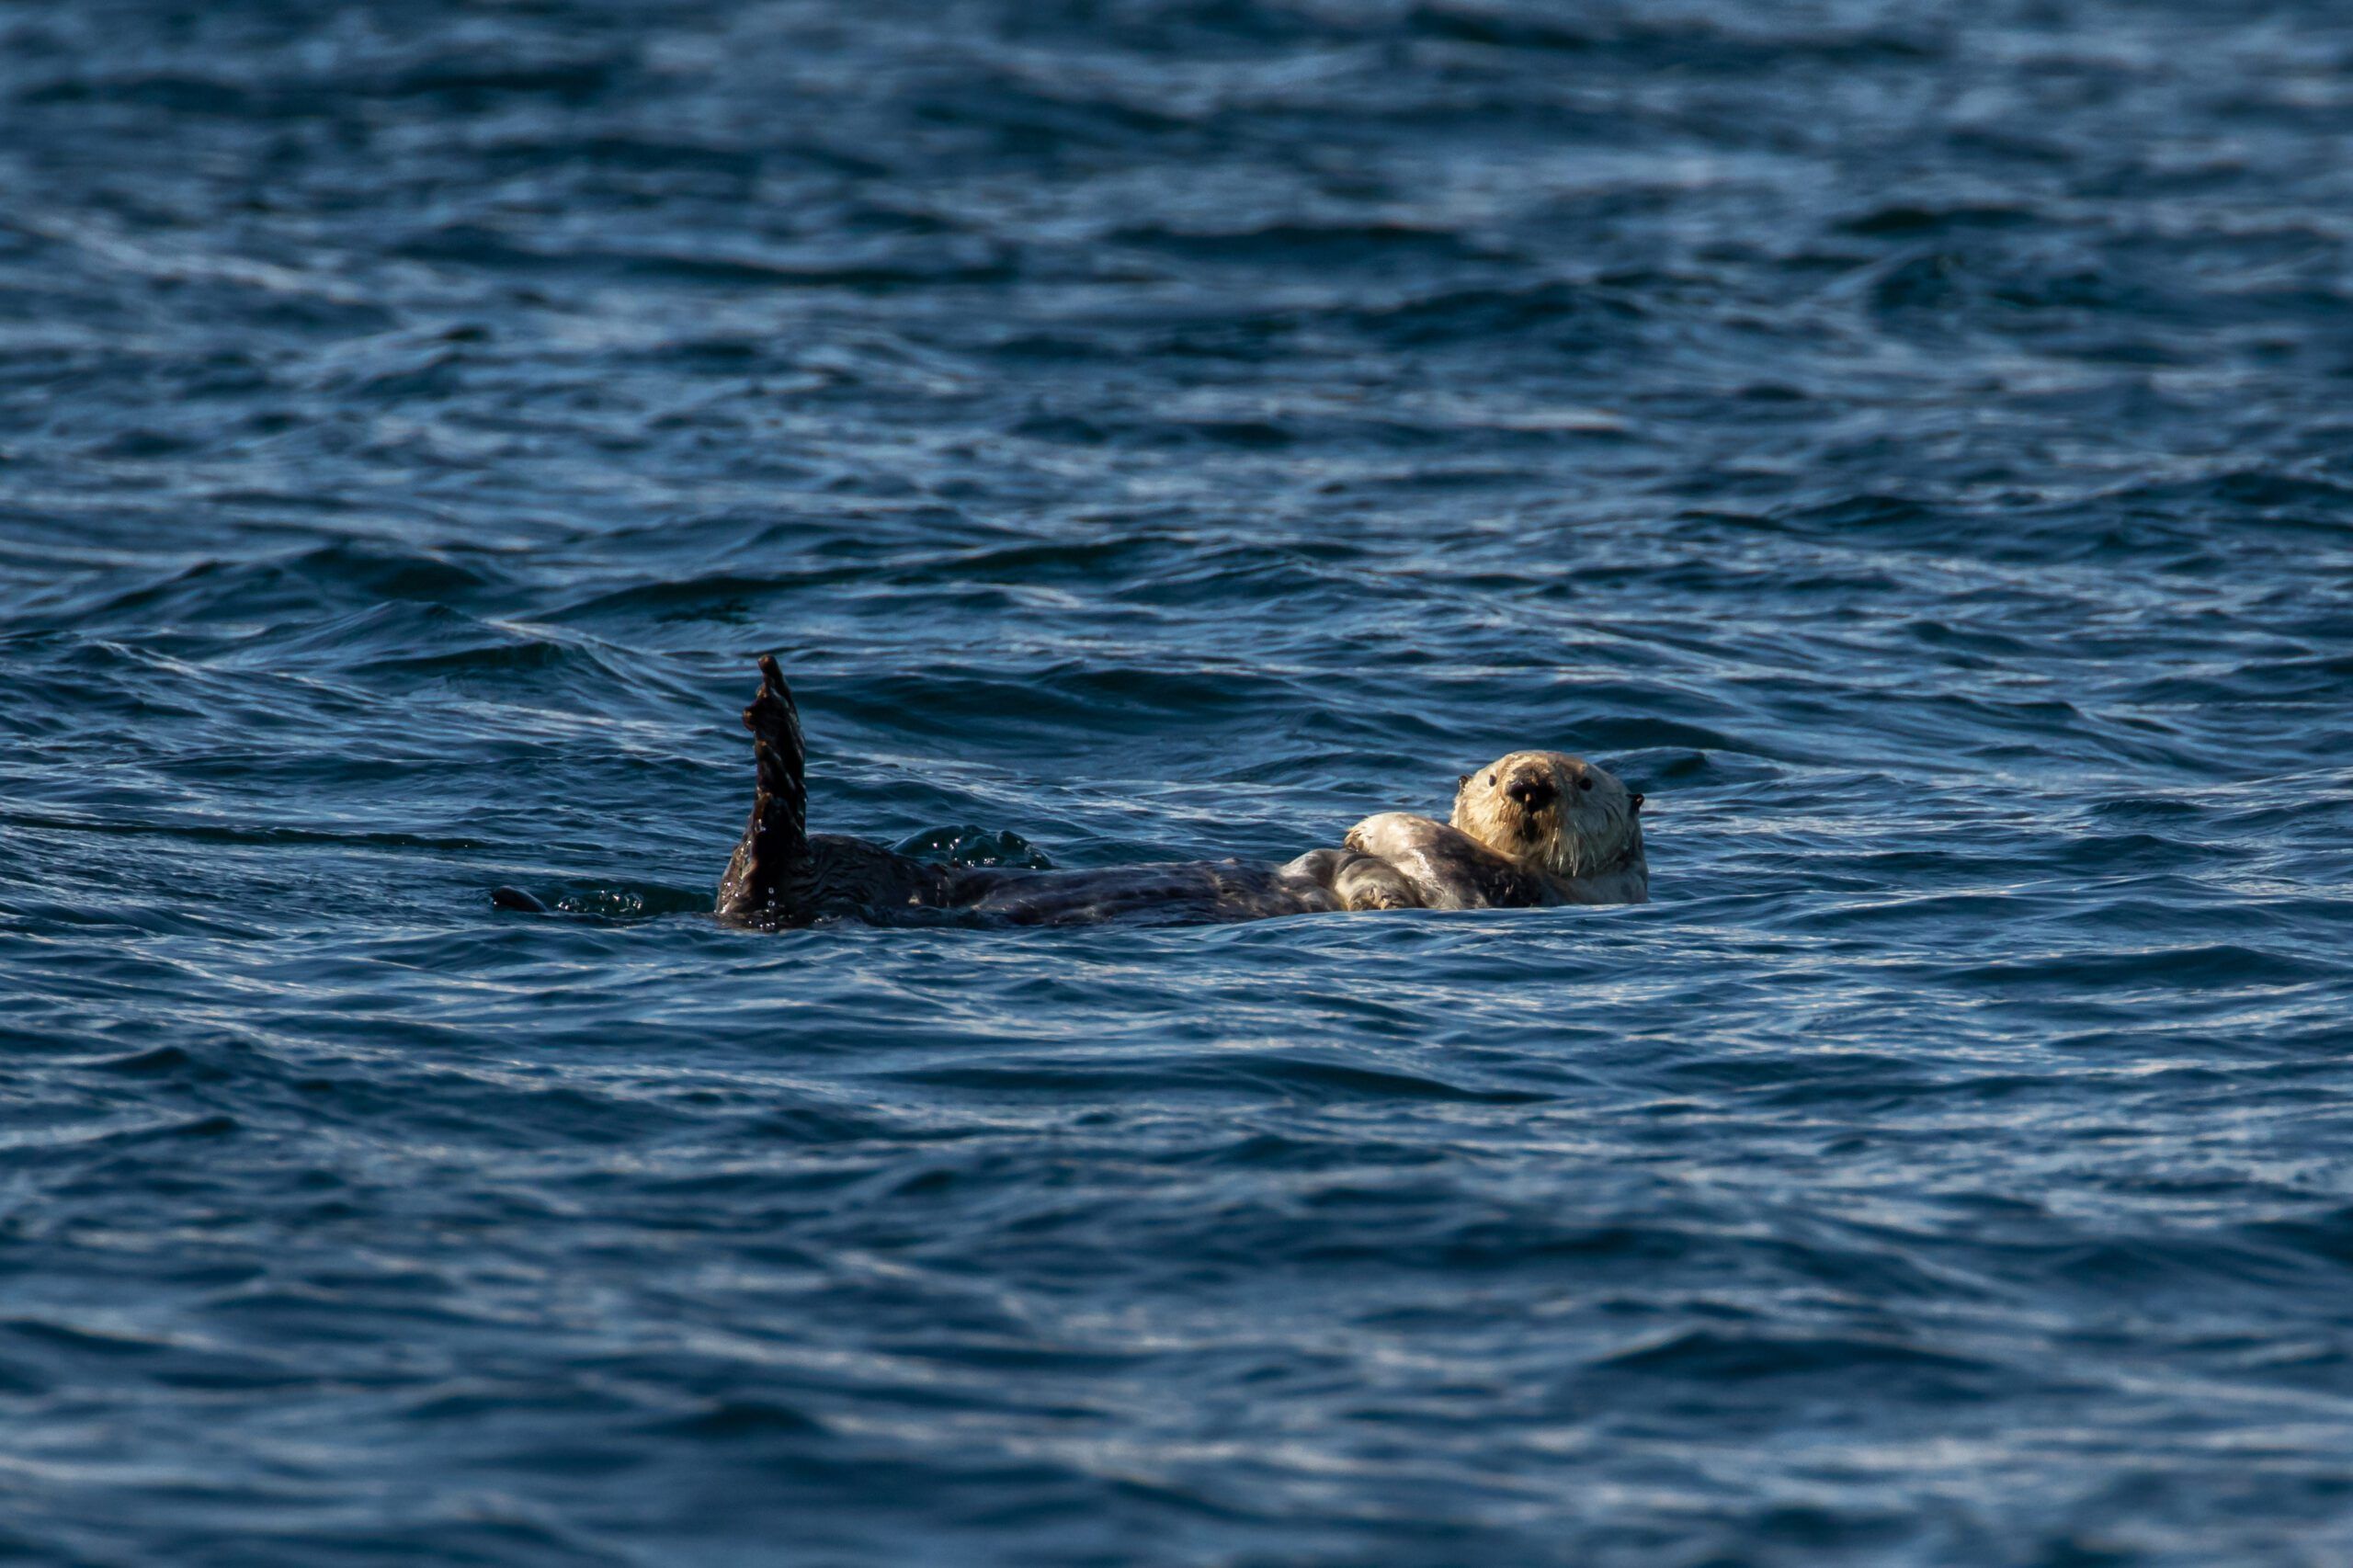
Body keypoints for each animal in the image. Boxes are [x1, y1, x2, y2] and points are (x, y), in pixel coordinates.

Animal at [707, 656, 1644, 927]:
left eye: (1581, 777)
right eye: (1490, 774)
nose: (1528, 786)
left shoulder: (1497, 887)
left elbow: (1420, 852)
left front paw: (1368, 832)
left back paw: (777, 729)